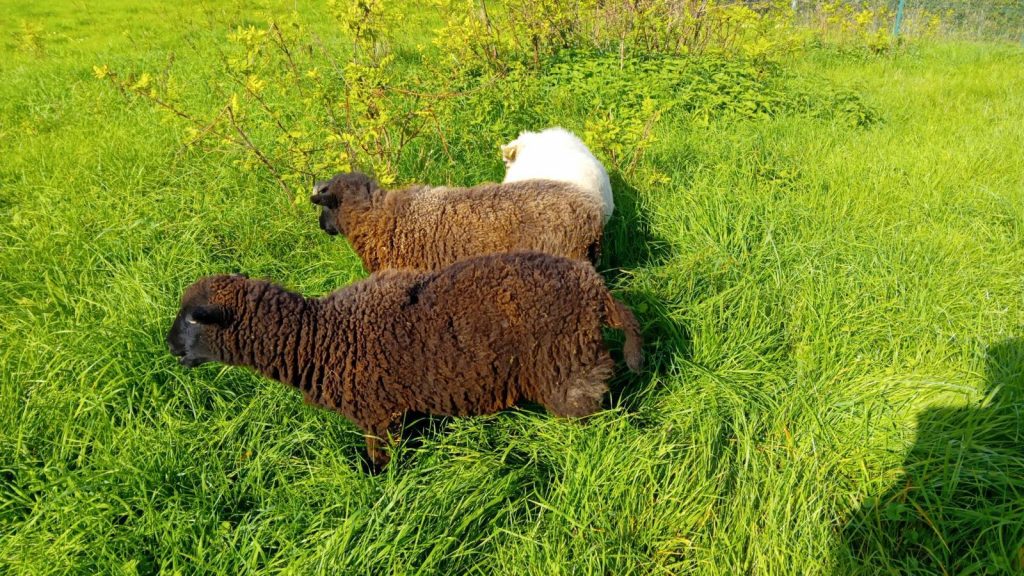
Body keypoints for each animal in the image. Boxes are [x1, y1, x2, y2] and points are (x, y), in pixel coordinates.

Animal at [166, 251, 643, 469]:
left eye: (192, 318)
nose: (169, 346)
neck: (321, 336)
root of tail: (597, 292)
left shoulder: (378, 414)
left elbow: (379, 461)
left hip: (567, 368)